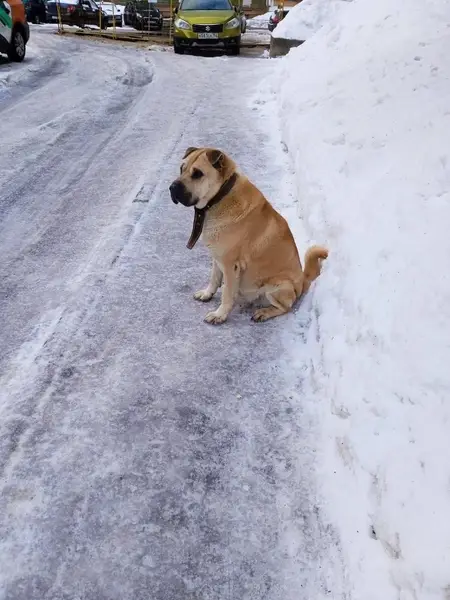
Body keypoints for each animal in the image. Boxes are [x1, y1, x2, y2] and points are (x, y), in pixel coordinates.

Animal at [169, 147, 328, 325]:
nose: (172, 188)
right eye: (181, 168)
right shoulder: (217, 257)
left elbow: (226, 293)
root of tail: (301, 281)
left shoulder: (231, 265)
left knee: (285, 307)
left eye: (197, 173)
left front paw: (219, 315)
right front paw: (207, 293)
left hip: (279, 287)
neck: (221, 196)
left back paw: (264, 312)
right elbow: (214, 278)